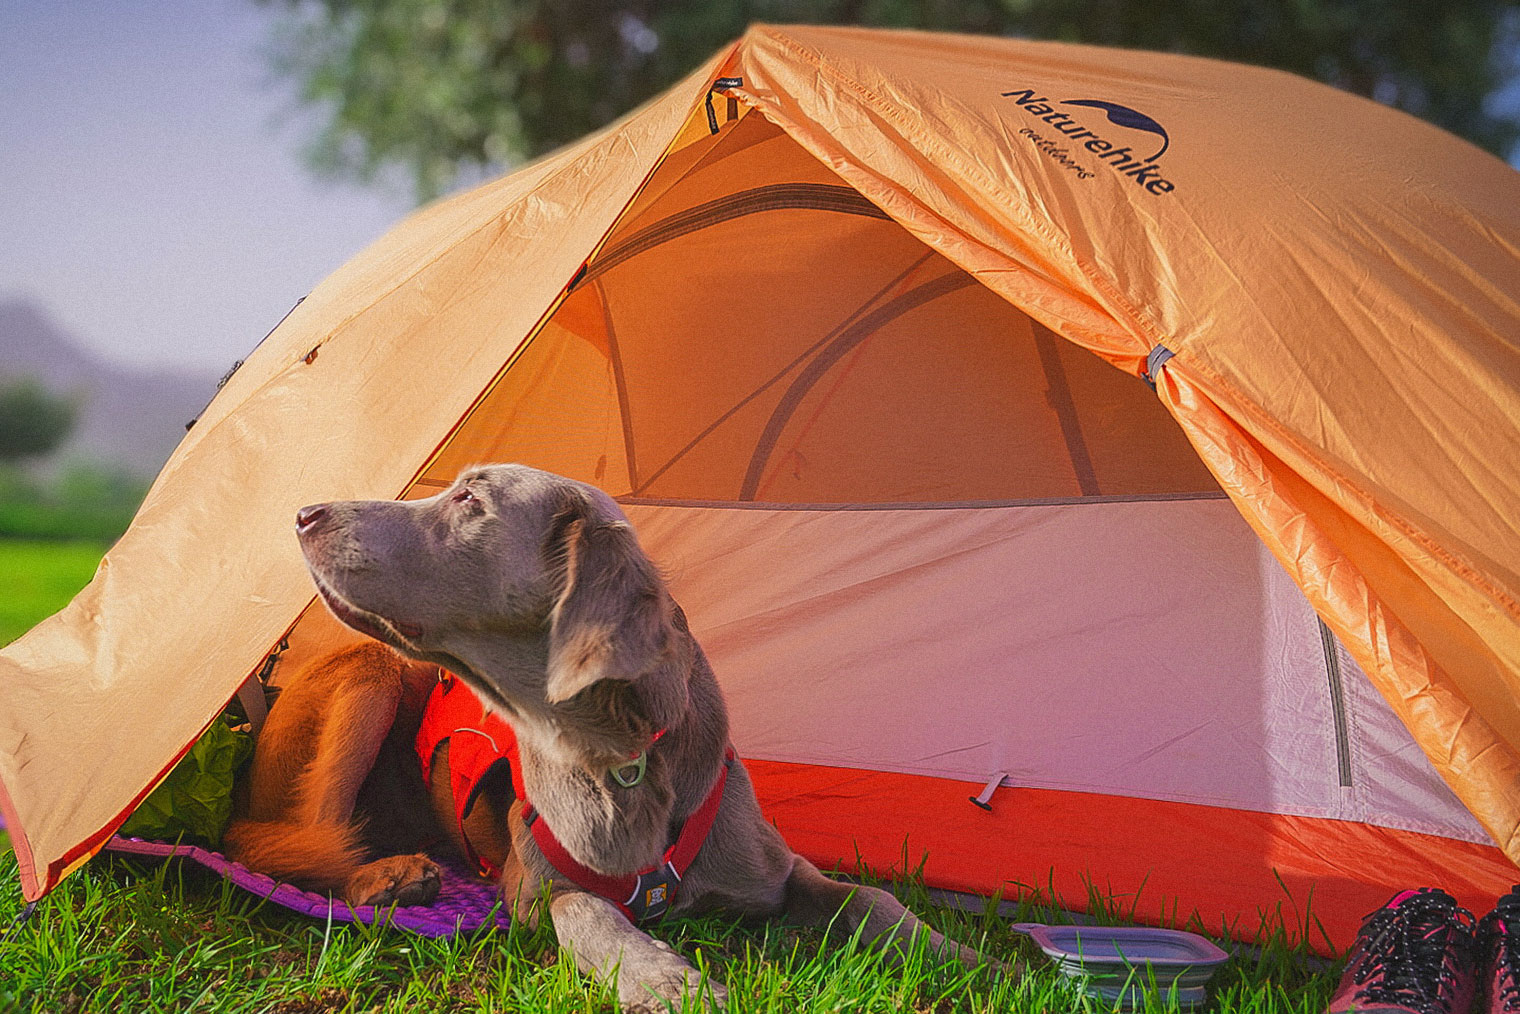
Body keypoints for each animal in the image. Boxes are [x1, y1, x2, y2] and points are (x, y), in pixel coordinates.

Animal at [221, 465, 984, 1009]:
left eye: (469, 497)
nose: (303, 513)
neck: (622, 758)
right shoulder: (531, 888)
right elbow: (585, 910)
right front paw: (665, 980)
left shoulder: (774, 868)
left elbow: (869, 898)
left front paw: (972, 959)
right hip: (368, 674)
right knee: (298, 844)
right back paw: (387, 875)